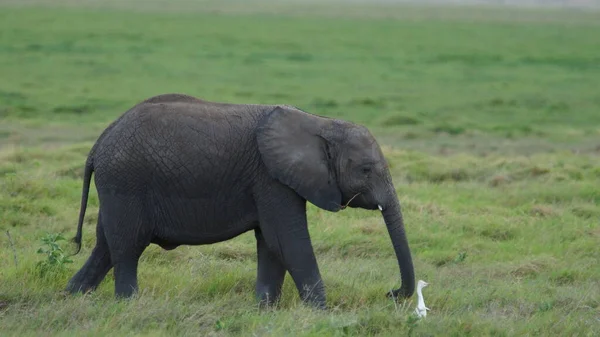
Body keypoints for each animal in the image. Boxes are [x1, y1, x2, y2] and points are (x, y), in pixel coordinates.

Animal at [64, 92, 412, 308]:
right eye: (366, 170)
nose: (391, 293)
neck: (320, 122)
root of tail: (99, 143)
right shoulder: (271, 177)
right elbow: (288, 241)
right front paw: (321, 316)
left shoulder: (272, 181)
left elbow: (271, 244)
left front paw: (265, 311)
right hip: (126, 182)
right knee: (126, 248)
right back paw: (127, 305)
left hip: (118, 188)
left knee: (105, 247)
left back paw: (71, 297)